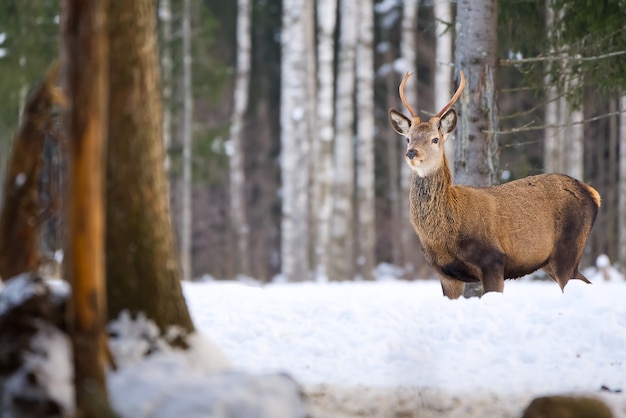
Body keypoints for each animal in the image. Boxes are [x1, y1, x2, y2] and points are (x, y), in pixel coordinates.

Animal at [388, 72, 596, 300]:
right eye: (408, 139)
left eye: (435, 139)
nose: (411, 152)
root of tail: (593, 194)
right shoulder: (445, 274)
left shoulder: (493, 261)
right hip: (549, 262)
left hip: (568, 249)